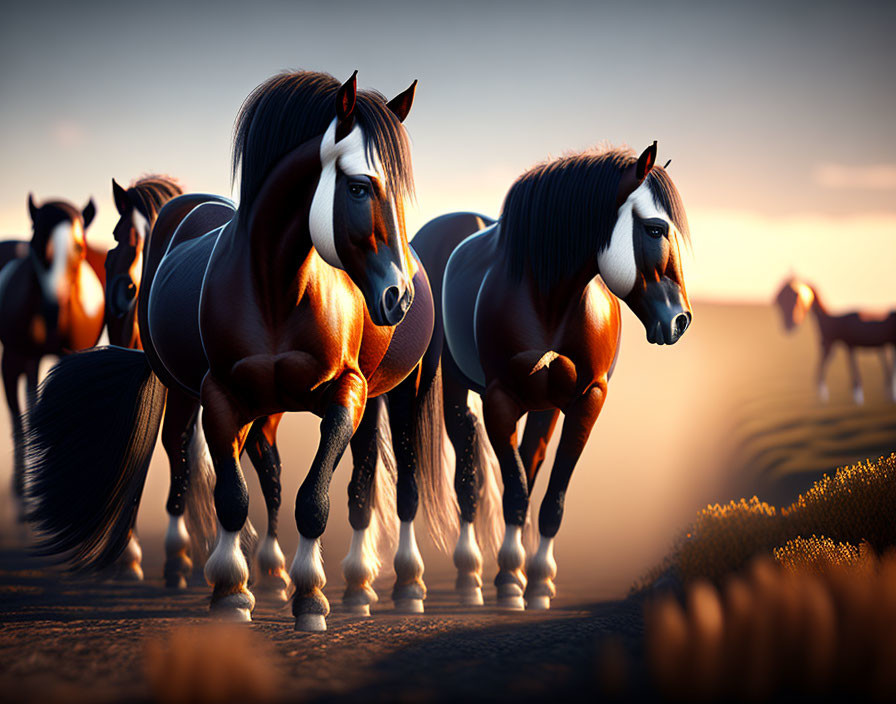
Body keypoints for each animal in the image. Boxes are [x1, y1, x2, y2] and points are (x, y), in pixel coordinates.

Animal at [25, 70, 434, 632]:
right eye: (357, 186)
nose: (399, 296)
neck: (279, 288)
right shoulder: (220, 395)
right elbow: (234, 496)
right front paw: (231, 593)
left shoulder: (346, 391)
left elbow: (315, 497)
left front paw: (311, 598)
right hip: (202, 396)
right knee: (207, 460)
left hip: (393, 391)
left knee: (392, 476)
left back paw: (391, 584)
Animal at [382, 140, 696, 608]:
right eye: (656, 229)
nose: (680, 320)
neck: (552, 299)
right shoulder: (499, 399)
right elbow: (513, 491)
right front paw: (511, 583)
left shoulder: (586, 399)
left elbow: (549, 495)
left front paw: (538, 581)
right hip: (445, 386)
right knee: (459, 464)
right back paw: (445, 580)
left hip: (542, 405)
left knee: (513, 463)